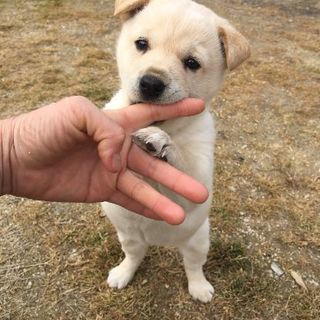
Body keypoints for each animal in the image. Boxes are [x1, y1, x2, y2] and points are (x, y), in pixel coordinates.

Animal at [101, 0, 249, 302]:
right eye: (141, 44)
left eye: (192, 63)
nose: (150, 83)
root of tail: (159, 242)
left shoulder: (199, 178)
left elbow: (185, 161)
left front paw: (161, 141)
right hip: (128, 236)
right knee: (134, 256)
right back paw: (123, 273)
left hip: (198, 240)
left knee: (193, 266)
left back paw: (200, 288)